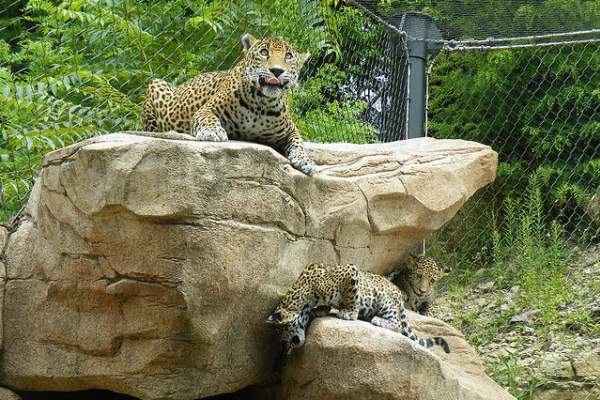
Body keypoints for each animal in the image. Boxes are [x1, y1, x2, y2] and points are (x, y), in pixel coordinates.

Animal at [140, 31, 316, 175]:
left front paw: (306, 161)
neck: (261, 104)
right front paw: (213, 132)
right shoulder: (206, 109)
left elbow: (298, 142)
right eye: (264, 52)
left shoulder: (290, 129)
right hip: (156, 84)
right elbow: (208, 118)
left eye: (288, 56)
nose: (277, 70)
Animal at [268, 264, 450, 354]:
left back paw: (376, 319)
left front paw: (350, 313)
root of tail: (398, 292)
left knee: (397, 324)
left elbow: (352, 297)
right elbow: (325, 305)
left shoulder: (350, 271)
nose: (286, 348)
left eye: (284, 329)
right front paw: (318, 311)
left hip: (385, 302)